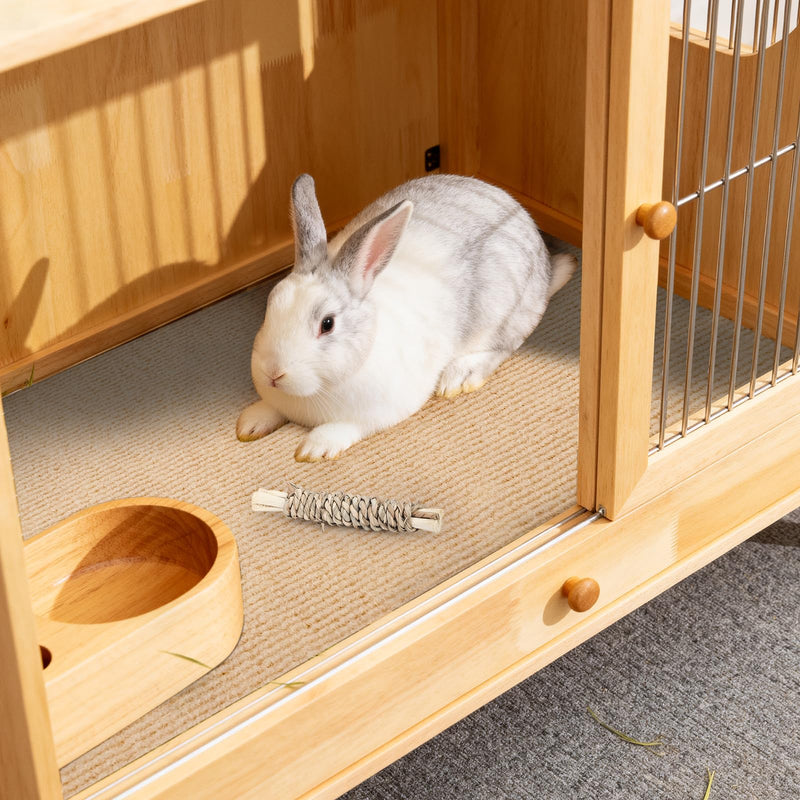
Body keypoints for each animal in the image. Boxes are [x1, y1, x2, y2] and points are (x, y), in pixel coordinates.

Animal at [236, 173, 576, 461]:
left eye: (327, 324)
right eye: (271, 305)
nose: (274, 373)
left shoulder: (378, 412)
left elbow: (348, 428)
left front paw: (314, 447)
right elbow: (270, 409)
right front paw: (249, 423)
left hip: (500, 317)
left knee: (502, 347)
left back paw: (458, 377)